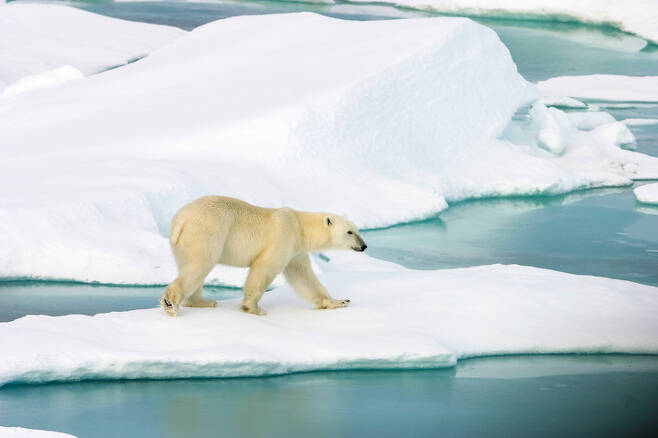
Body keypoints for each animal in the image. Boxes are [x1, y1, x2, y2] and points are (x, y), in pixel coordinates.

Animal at [159, 197, 364, 316]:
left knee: (190, 265)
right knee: (200, 264)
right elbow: (264, 268)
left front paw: (339, 301)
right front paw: (254, 309)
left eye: (357, 229)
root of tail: (180, 220)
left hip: (182, 243)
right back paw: (171, 303)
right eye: (349, 232)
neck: (300, 227)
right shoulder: (283, 236)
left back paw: (201, 301)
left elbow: (304, 277)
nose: (364, 246)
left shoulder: (296, 251)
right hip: (206, 230)